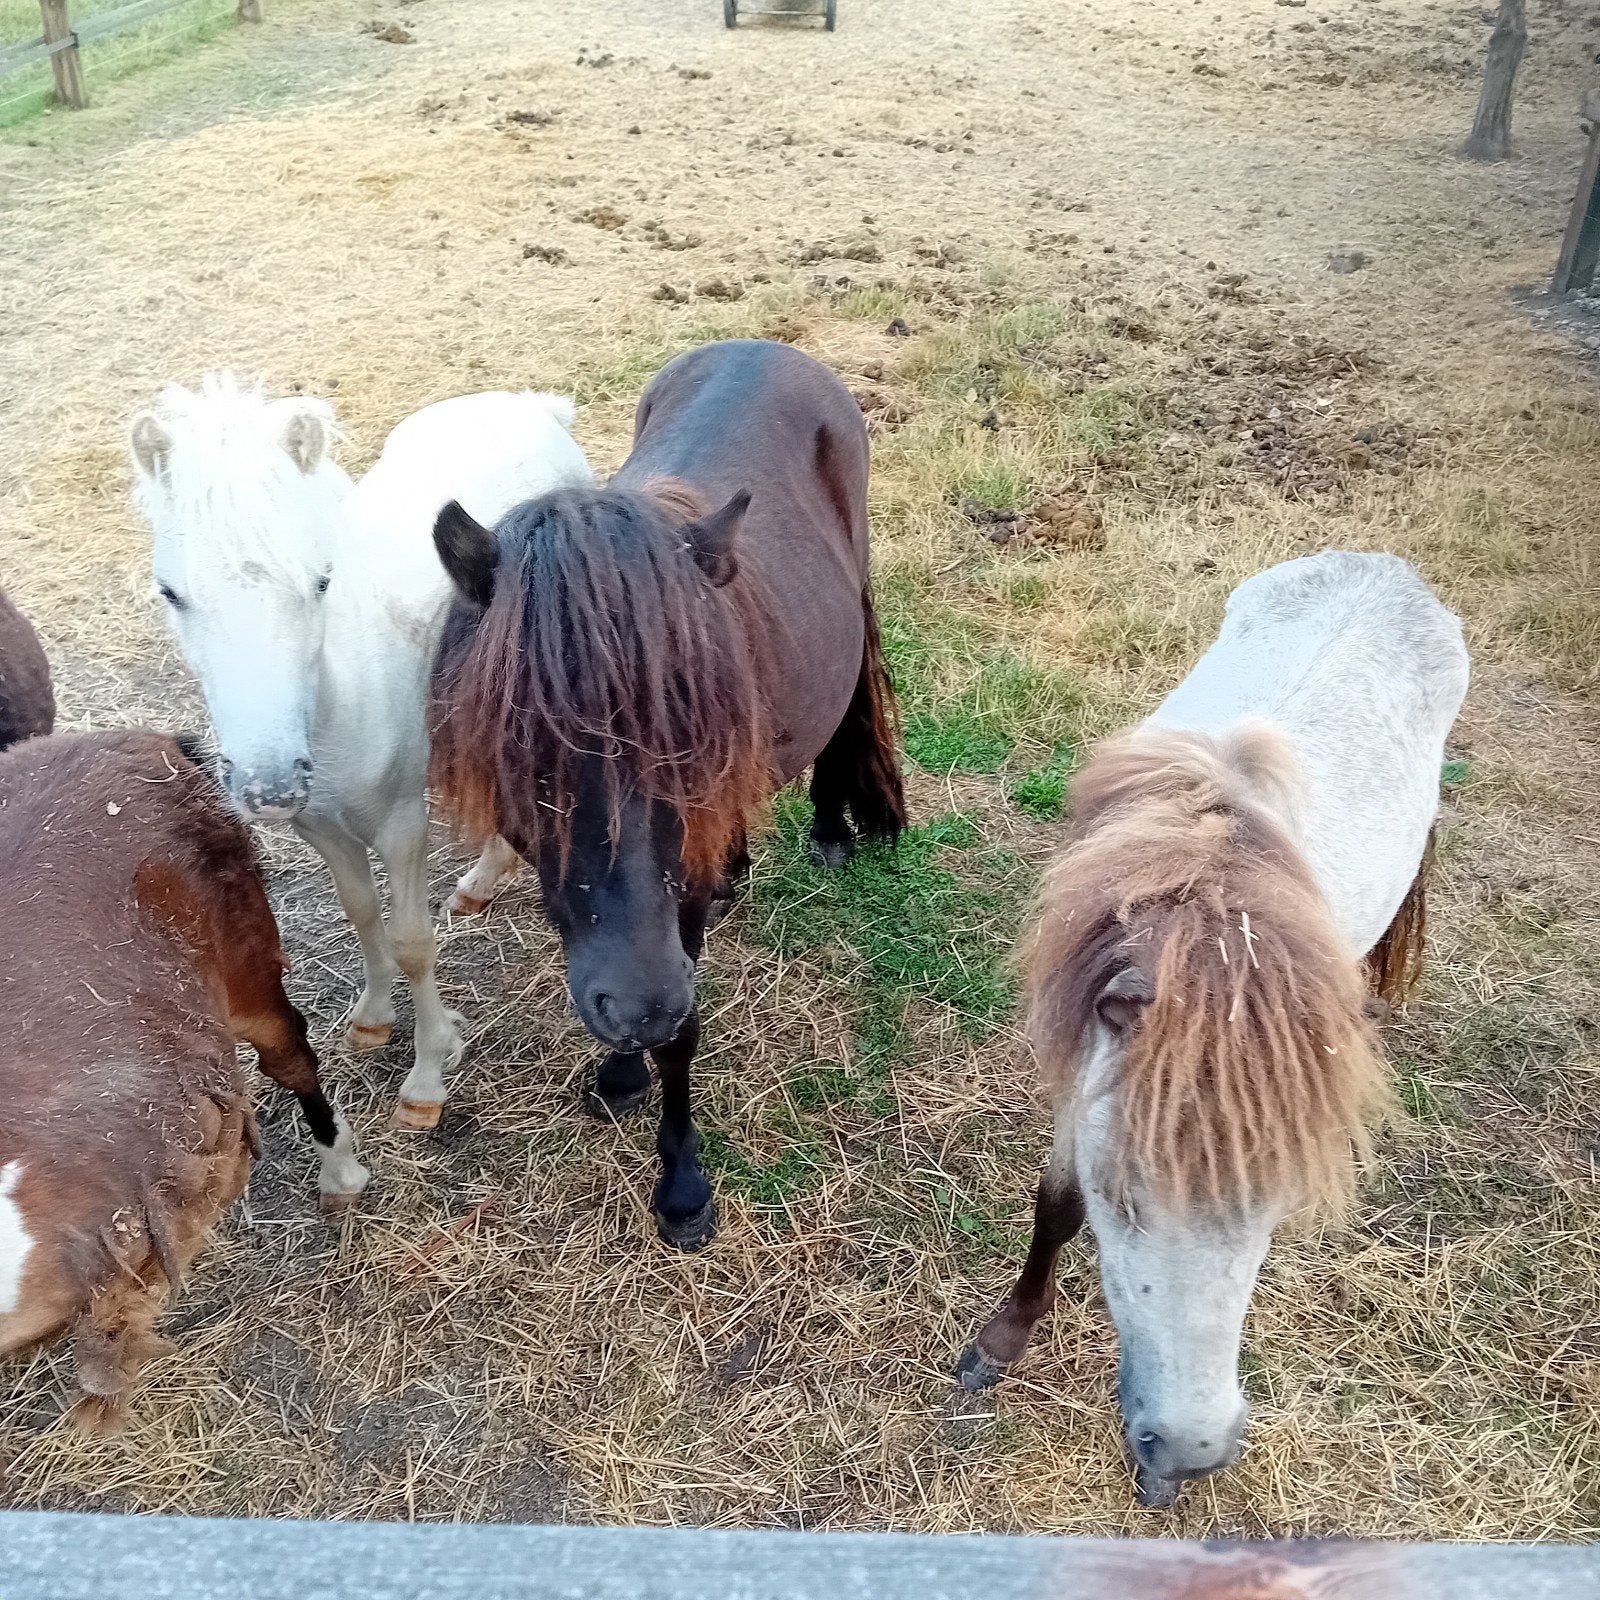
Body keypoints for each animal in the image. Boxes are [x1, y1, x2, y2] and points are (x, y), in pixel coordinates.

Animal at [130, 377, 594, 1128]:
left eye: (321, 580)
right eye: (171, 592)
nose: (267, 783)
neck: (337, 706)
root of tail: (533, 404)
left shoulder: (402, 823)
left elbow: (412, 941)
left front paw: (428, 1076)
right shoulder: (320, 827)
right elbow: (360, 912)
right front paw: (373, 1018)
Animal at [430, 338, 906, 1250]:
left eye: (688, 750)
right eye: (527, 756)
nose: (640, 1006)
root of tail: (769, 347)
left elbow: (681, 1034)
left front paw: (683, 1185)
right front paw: (621, 1072)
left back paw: (829, 828)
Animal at [956, 550, 1470, 1507]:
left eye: (1275, 1208)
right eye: (1122, 1198)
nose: (1190, 1453)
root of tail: (1389, 569)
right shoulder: (1084, 1073)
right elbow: (1055, 1208)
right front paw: (1004, 1338)